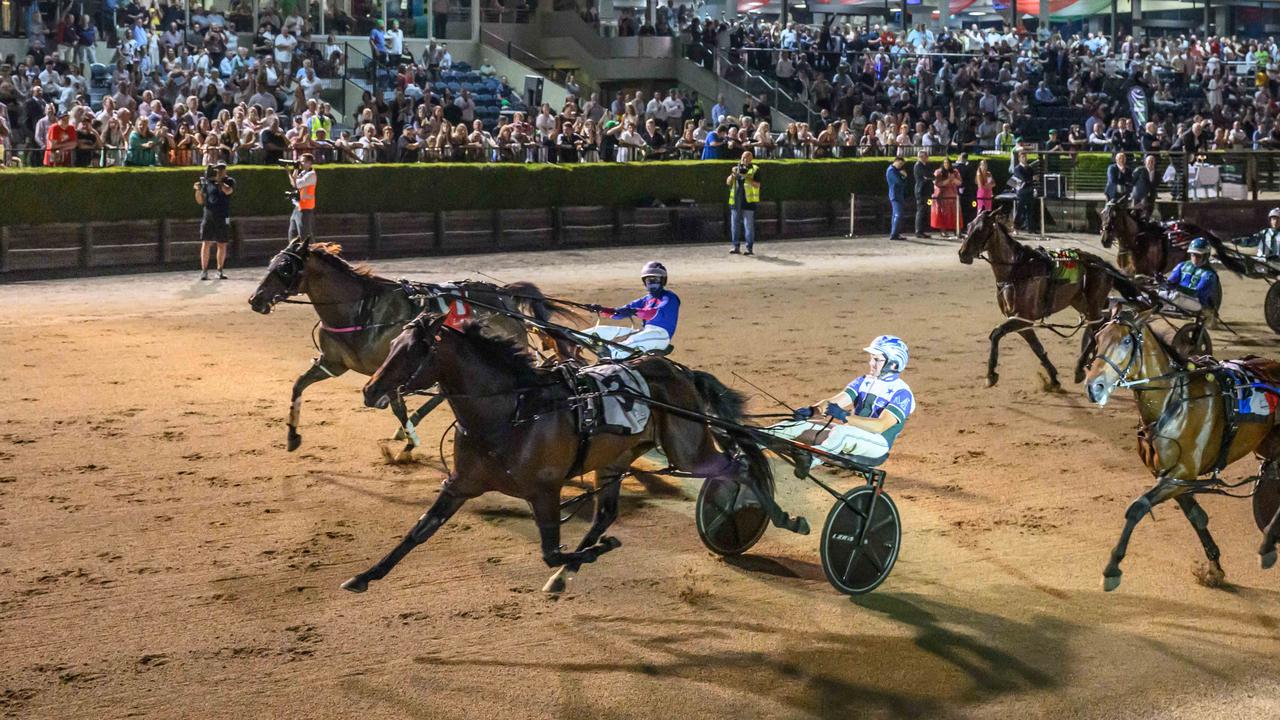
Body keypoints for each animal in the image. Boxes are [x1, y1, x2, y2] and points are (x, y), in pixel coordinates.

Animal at [249, 240, 581, 453]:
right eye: (270, 263)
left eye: (285, 268)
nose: (255, 300)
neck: (361, 309)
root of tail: (505, 296)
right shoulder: (333, 364)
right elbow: (298, 385)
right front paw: (292, 436)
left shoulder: (395, 368)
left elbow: (397, 406)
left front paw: (409, 444)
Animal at [345, 313, 803, 594]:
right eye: (393, 343)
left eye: (412, 350)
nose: (369, 390)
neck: (512, 410)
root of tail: (682, 373)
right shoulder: (462, 484)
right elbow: (420, 531)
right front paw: (365, 576)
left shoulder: (544, 491)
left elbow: (550, 551)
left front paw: (597, 552)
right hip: (615, 459)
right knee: (606, 513)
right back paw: (566, 576)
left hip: (688, 449)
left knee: (738, 466)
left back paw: (784, 517)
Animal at [962, 204, 1141, 389]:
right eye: (968, 226)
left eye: (981, 229)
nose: (962, 254)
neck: (1016, 271)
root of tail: (1100, 264)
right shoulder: (1022, 322)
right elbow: (1037, 348)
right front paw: (1053, 378)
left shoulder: (1021, 318)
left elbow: (996, 334)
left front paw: (990, 374)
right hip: (1081, 302)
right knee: (1101, 323)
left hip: (1093, 302)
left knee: (1098, 327)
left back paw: (1080, 366)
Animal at [1085, 303, 1280, 589]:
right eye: (1098, 338)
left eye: (1126, 341)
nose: (1094, 387)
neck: (1174, 401)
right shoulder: (1173, 477)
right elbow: (1196, 516)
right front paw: (1214, 568)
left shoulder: (1181, 473)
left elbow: (1137, 508)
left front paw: (1112, 568)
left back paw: (1267, 546)